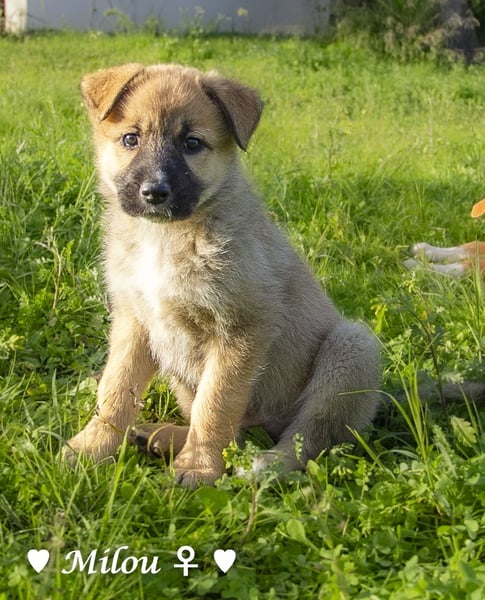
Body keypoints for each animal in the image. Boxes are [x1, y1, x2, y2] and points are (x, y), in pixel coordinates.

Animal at [64, 63, 380, 488]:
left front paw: (198, 468)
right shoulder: (134, 323)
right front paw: (92, 447)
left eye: (192, 143)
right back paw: (162, 436)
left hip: (352, 347)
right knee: (236, 432)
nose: (154, 192)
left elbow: (215, 405)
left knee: (305, 439)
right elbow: (115, 391)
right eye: (131, 138)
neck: (166, 238)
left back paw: (262, 463)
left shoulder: (240, 330)